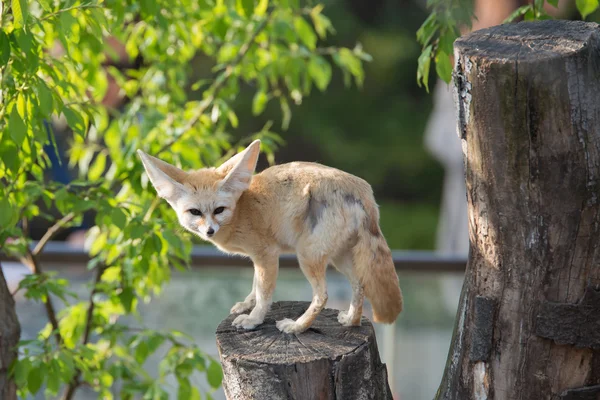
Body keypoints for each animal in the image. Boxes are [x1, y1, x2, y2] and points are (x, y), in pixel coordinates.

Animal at [137, 141, 404, 334]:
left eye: (219, 210)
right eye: (195, 212)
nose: (209, 231)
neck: (242, 208)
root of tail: (363, 191)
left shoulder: (266, 255)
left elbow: (264, 293)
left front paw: (254, 319)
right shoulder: (258, 258)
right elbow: (255, 286)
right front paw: (246, 305)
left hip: (307, 257)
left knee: (323, 295)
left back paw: (297, 326)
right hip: (339, 257)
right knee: (360, 285)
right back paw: (351, 320)